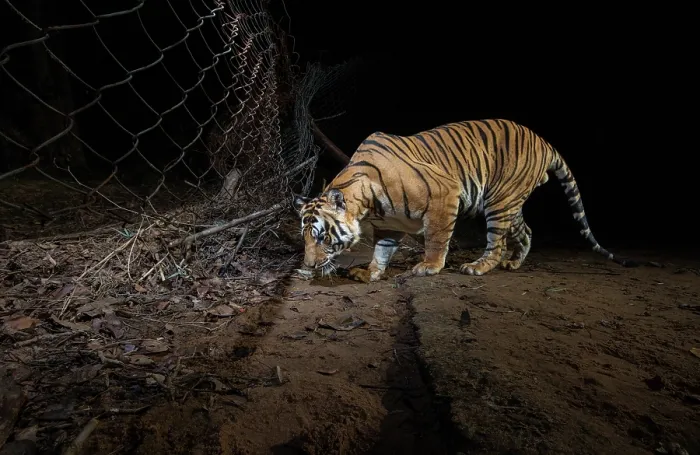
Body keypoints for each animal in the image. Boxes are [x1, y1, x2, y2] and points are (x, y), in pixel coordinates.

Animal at [292, 118, 637, 283]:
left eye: (322, 237)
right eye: (305, 237)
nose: (307, 265)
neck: (368, 206)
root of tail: (543, 140)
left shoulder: (445, 194)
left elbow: (436, 238)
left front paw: (428, 267)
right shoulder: (390, 224)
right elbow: (382, 250)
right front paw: (371, 272)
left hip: (499, 201)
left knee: (496, 242)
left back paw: (478, 267)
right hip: (510, 201)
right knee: (525, 231)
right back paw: (513, 262)